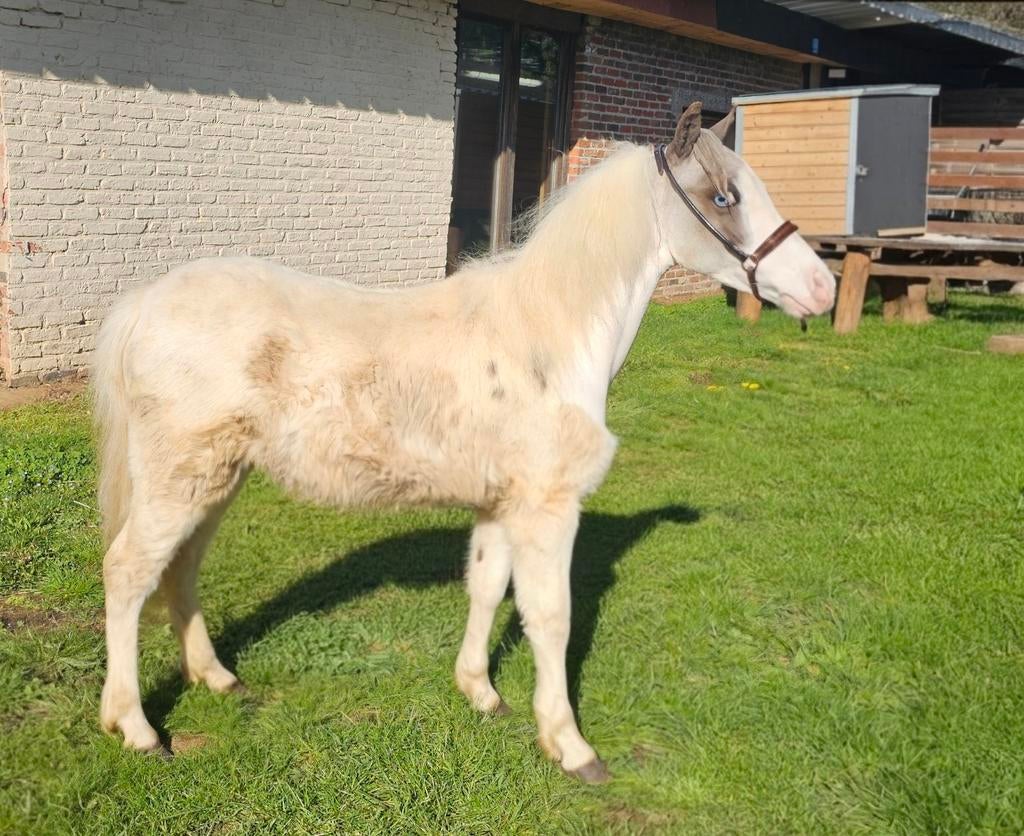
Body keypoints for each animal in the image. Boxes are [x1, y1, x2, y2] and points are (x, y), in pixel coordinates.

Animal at [93, 101, 835, 782]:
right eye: (724, 196)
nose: (822, 287)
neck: (547, 337)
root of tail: (144, 303)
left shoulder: (501, 503)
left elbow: (486, 585)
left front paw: (481, 692)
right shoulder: (547, 509)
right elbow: (551, 617)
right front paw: (569, 745)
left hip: (218, 478)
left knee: (182, 568)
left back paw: (216, 678)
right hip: (178, 481)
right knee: (129, 571)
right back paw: (135, 727)